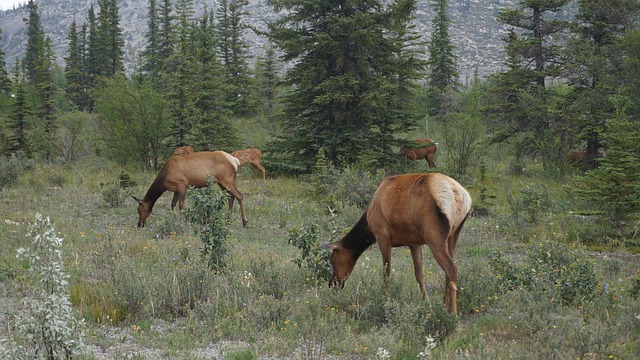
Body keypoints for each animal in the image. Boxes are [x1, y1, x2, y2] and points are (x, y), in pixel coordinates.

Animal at [322, 173, 472, 314]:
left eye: (332, 259)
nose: (332, 284)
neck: (368, 227)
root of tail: (460, 196)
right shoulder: (414, 243)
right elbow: (419, 275)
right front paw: (427, 304)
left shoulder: (382, 235)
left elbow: (386, 272)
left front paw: (385, 299)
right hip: (453, 235)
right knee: (448, 270)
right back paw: (444, 306)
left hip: (434, 236)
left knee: (451, 268)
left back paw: (452, 312)